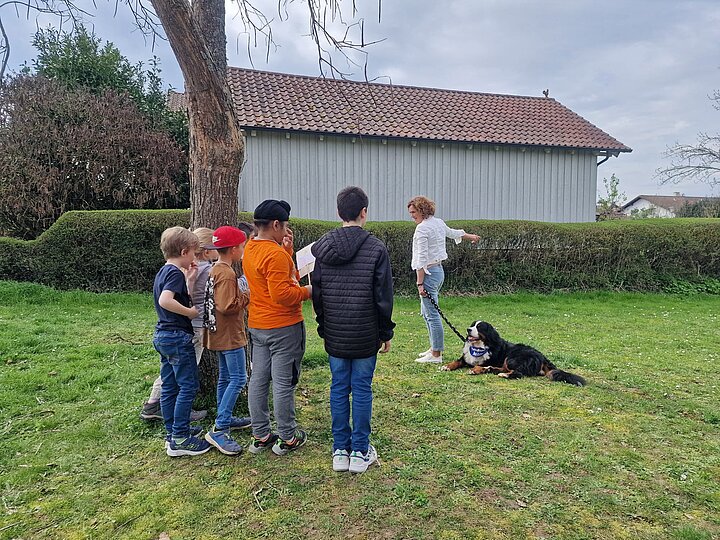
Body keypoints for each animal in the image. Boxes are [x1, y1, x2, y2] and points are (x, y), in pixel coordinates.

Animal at [438, 318, 584, 386]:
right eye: (472, 325)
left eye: (479, 327)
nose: (468, 329)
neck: (478, 346)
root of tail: (542, 356)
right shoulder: (466, 358)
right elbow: (456, 362)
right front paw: (447, 366)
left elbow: (480, 364)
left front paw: (476, 369)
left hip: (512, 357)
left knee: (518, 373)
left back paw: (502, 374)